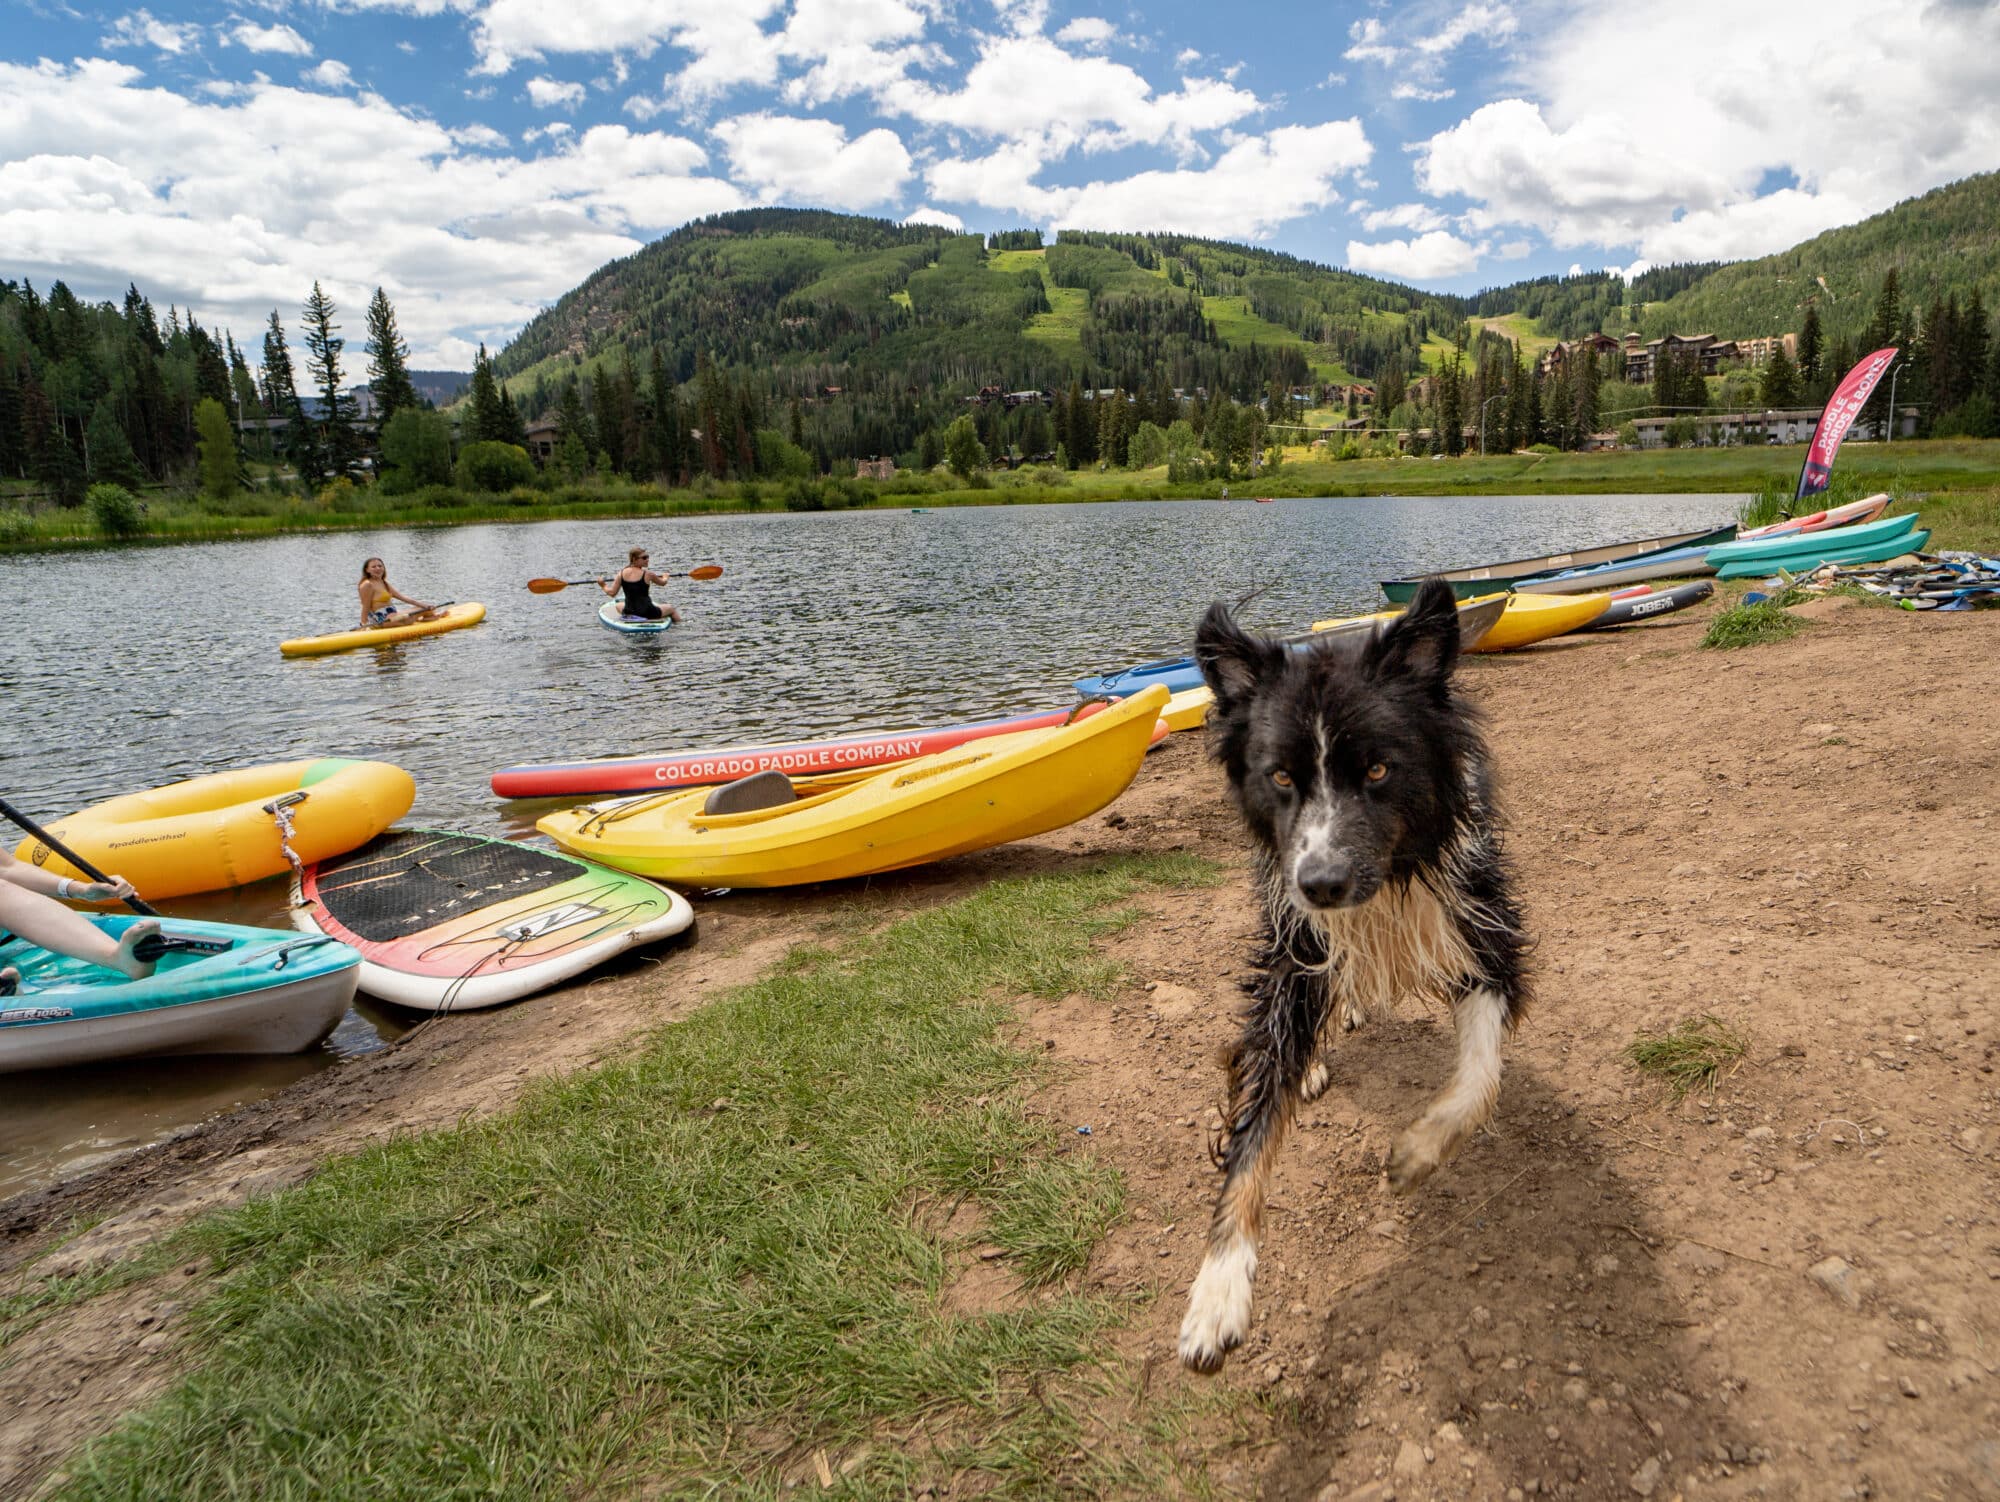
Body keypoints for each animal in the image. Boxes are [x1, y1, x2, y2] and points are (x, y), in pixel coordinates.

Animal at [1168, 580, 1528, 1384]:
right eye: (1279, 776)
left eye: (1378, 771)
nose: (1323, 884)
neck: (1387, 881)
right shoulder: (1291, 941)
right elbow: (1253, 1123)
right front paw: (1218, 1286)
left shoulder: (1482, 923)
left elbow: (1481, 1073)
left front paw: (1420, 1150)